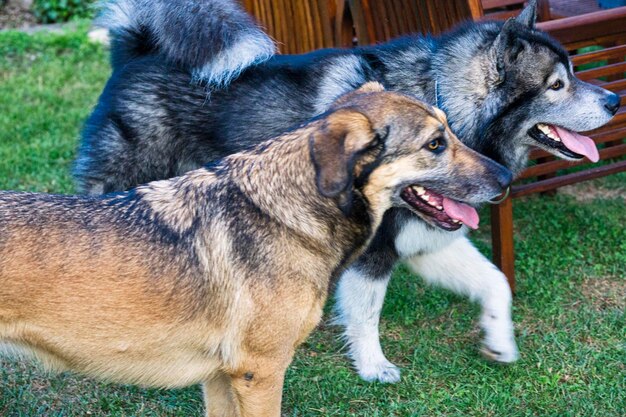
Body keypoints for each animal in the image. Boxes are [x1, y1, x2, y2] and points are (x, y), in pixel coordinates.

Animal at [0, 83, 508, 414]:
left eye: (448, 132)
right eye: (436, 144)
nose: (507, 177)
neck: (286, 213)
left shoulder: (221, 379)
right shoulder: (259, 374)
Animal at [75, 0, 616, 382]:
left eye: (572, 74)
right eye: (557, 85)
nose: (614, 99)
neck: (442, 99)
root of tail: (138, 51)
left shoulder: (426, 238)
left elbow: (495, 281)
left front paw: (500, 339)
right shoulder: (373, 251)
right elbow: (365, 312)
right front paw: (373, 366)